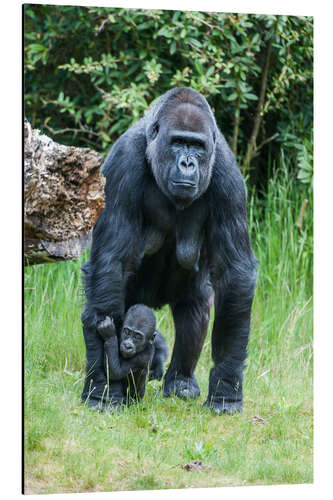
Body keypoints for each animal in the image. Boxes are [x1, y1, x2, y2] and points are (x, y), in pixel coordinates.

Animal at [81, 87, 256, 414]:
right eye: (178, 142)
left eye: (197, 146)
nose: (187, 163)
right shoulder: (123, 163)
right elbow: (111, 262)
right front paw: (104, 389)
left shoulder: (228, 176)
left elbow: (235, 272)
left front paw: (226, 388)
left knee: (195, 308)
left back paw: (180, 380)